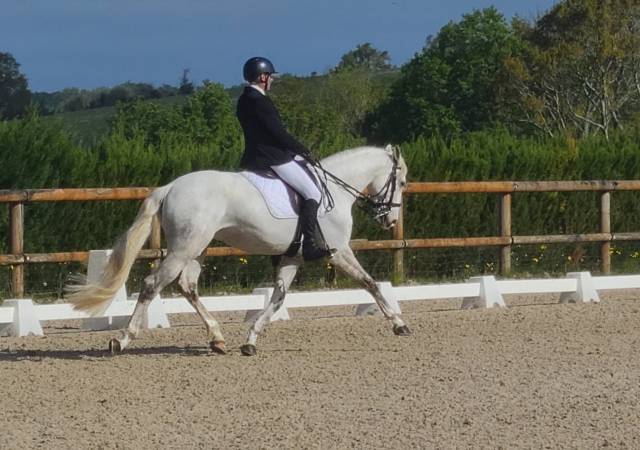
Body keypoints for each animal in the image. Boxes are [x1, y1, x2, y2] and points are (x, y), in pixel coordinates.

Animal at [67, 144, 411, 356]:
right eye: (403, 182)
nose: (390, 220)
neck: (335, 192)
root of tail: (171, 186)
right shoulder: (337, 251)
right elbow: (370, 283)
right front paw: (399, 325)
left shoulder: (292, 257)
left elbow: (278, 298)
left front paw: (251, 340)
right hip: (184, 248)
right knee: (153, 284)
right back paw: (123, 339)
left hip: (197, 248)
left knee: (187, 285)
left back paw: (217, 338)